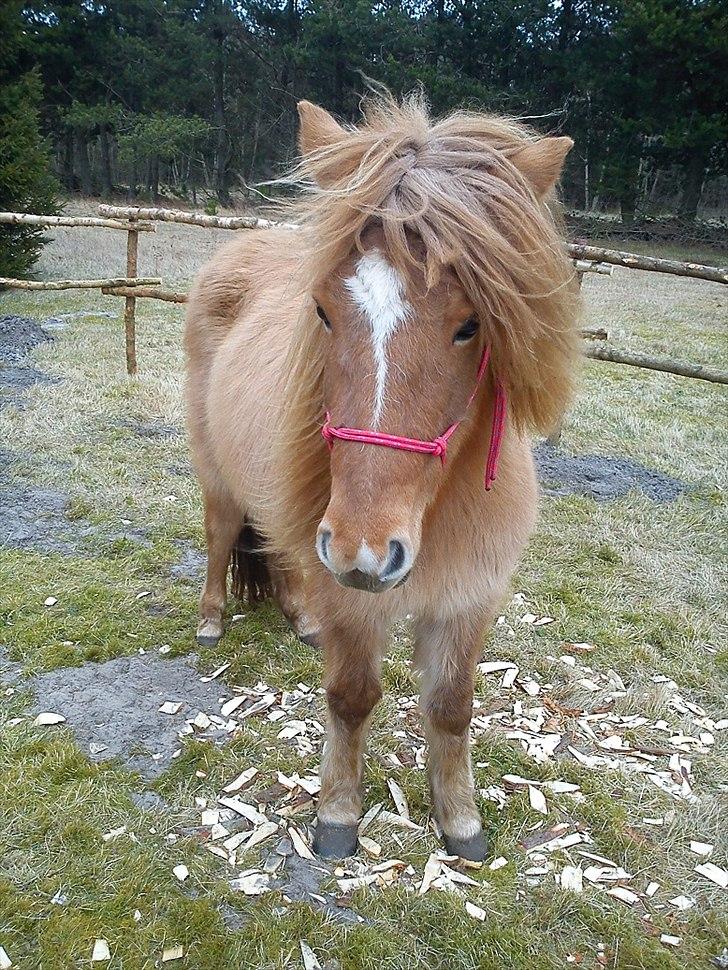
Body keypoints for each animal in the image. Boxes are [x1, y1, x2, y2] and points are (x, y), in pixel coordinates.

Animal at [183, 91, 580, 860]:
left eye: (470, 325)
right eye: (322, 312)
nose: (363, 551)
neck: (437, 511)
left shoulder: (468, 601)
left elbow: (451, 708)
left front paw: (460, 821)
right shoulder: (354, 603)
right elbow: (351, 698)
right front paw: (338, 814)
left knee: (282, 554)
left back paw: (299, 618)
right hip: (220, 477)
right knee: (220, 536)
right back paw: (213, 619)